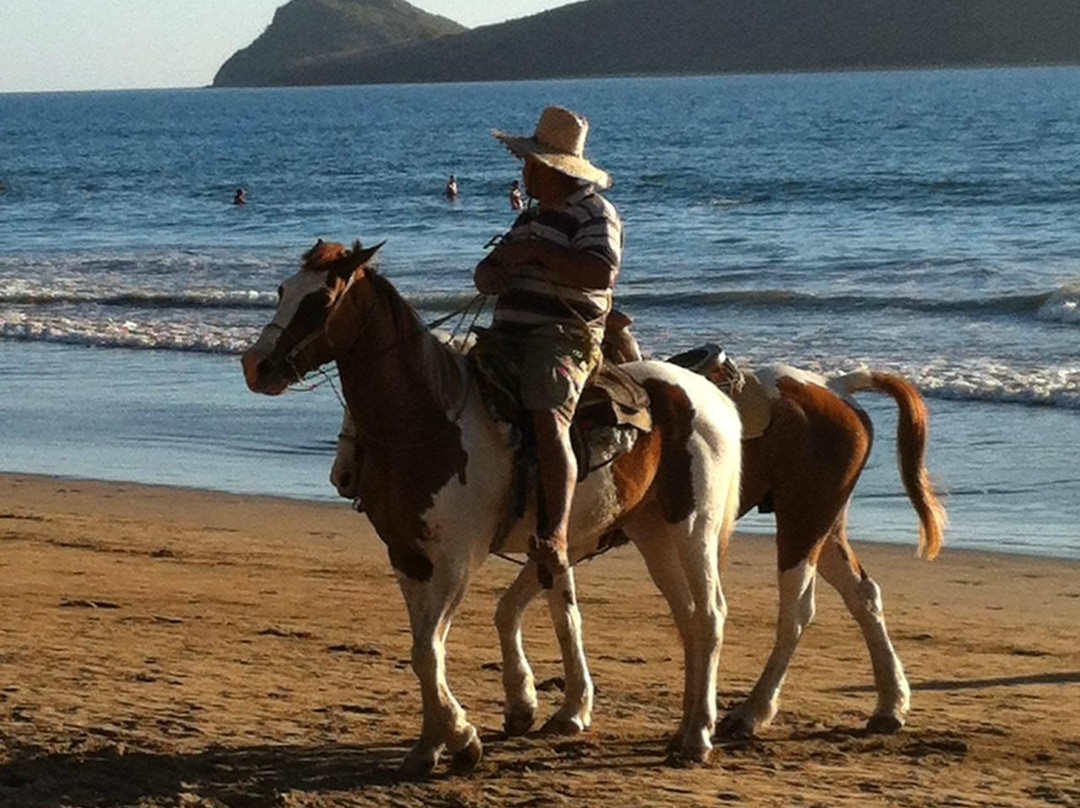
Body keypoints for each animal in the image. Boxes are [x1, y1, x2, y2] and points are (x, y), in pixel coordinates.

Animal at [241, 240, 743, 772]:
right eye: (282, 291)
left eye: (320, 300)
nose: (256, 365)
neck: (429, 421)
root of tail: (709, 396)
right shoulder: (407, 557)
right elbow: (425, 649)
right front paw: (430, 745)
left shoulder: (456, 561)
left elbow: (428, 650)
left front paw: (462, 738)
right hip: (652, 532)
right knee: (688, 618)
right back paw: (686, 728)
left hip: (693, 527)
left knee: (709, 614)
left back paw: (697, 737)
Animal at [332, 321, 946, 740]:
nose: (343, 478)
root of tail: (833, 385)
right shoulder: (561, 545)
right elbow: (523, 611)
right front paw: (533, 702)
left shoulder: (562, 541)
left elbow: (547, 614)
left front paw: (560, 706)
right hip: (821, 523)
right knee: (863, 596)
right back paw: (889, 704)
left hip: (800, 524)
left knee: (797, 611)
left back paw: (751, 712)